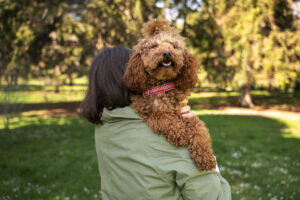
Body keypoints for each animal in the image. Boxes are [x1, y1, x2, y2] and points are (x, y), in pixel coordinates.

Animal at [123, 18, 216, 170]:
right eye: (154, 46)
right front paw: (180, 133)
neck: (163, 86)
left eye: (174, 46)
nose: (167, 53)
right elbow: (163, 117)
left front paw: (205, 157)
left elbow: (199, 130)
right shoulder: (148, 111)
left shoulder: (186, 114)